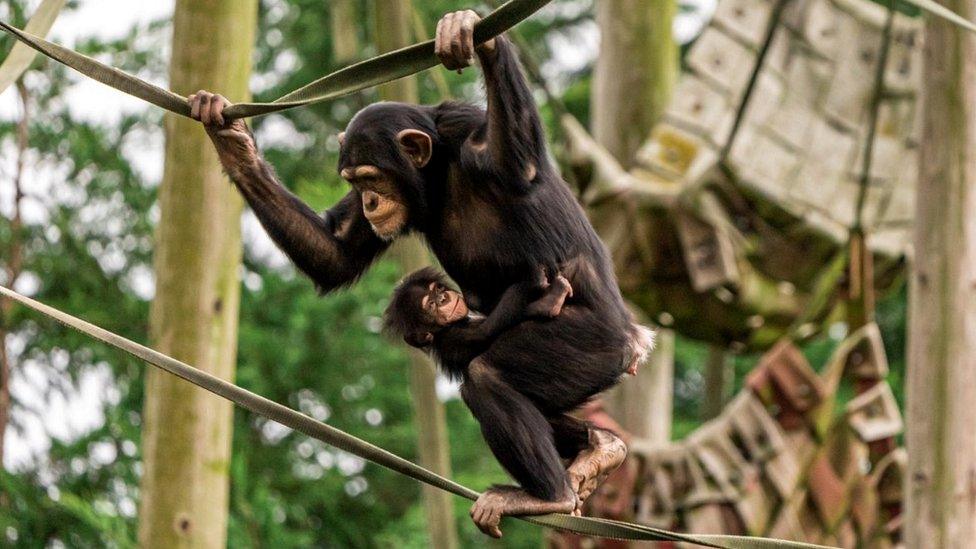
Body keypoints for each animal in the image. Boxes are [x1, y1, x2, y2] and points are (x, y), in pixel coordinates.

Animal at [386, 264, 572, 376]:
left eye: (437, 288)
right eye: (431, 305)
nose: (443, 298)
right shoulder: (453, 338)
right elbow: (485, 331)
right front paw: (538, 286)